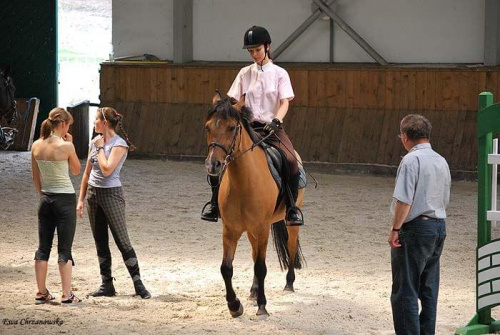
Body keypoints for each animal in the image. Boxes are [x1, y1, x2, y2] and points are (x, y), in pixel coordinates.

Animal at [203, 94, 304, 318]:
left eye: (232, 127)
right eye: (207, 127)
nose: (213, 165)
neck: (244, 182)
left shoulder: (262, 228)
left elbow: (261, 267)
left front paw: (262, 306)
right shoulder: (230, 230)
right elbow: (226, 268)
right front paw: (234, 305)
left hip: (289, 222)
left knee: (291, 246)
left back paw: (289, 284)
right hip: (250, 231)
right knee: (254, 253)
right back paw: (253, 291)